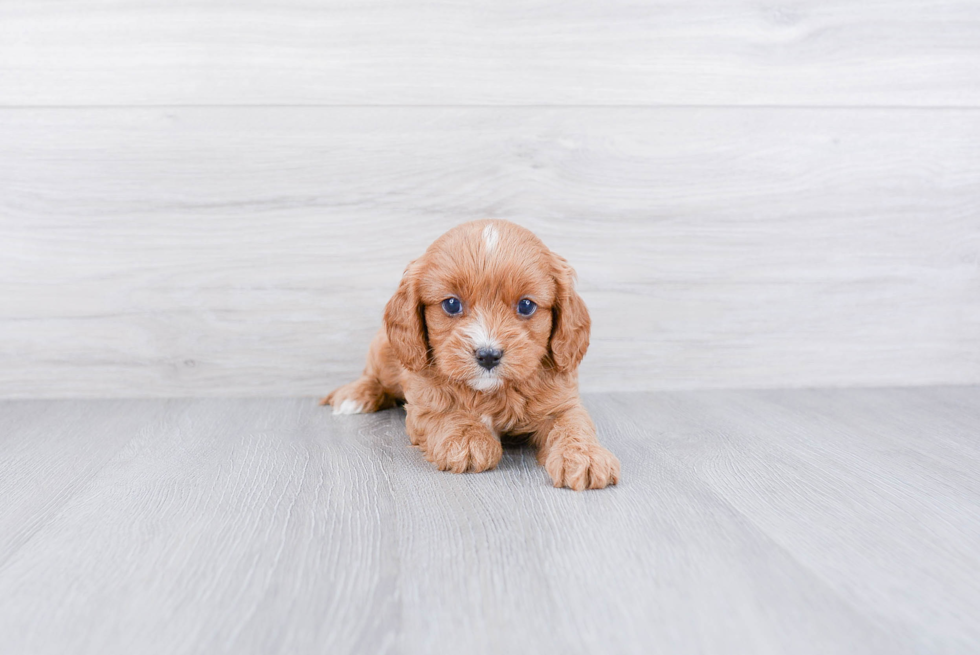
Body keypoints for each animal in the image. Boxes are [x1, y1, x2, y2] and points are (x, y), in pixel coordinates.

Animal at [326, 220, 624, 492]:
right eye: (451, 304)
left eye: (526, 305)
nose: (488, 355)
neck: (495, 392)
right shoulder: (424, 400)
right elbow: (447, 411)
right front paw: (468, 440)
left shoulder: (562, 402)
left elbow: (573, 424)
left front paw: (585, 457)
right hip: (387, 353)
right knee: (374, 376)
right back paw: (354, 396)